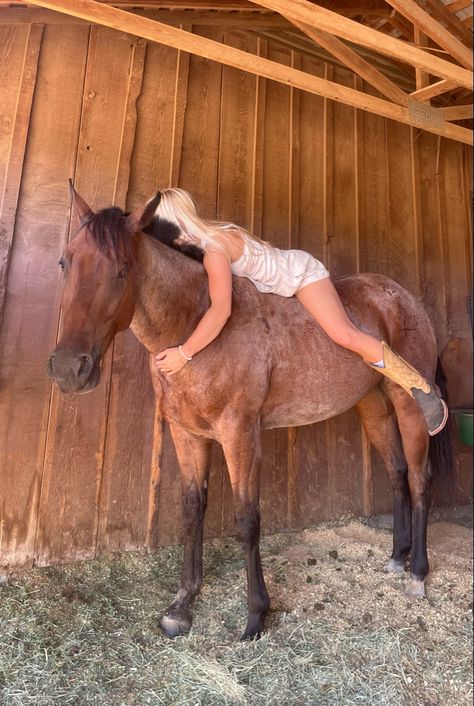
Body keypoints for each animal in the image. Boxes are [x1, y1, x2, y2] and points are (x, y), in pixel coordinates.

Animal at [48, 187, 452, 640]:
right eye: (65, 261)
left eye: (122, 269)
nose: (68, 369)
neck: (194, 327)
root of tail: (402, 296)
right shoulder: (187, 435)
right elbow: (192, 510)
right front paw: (182, 605)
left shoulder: (240, 435)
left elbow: (247, 519)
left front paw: (256, 614)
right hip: (373, 406)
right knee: (397, 472)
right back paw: (398, 556)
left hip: (405, 404)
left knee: (419, 478)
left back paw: (418, 573)